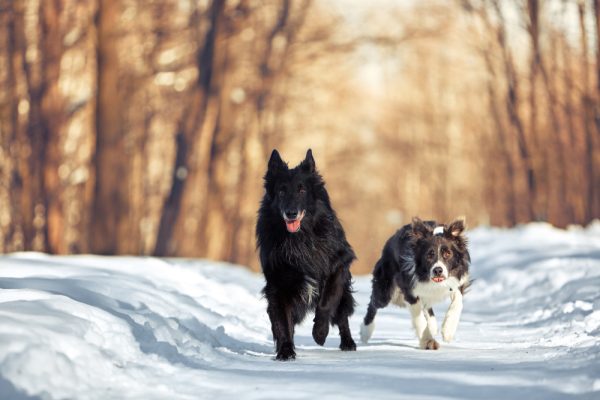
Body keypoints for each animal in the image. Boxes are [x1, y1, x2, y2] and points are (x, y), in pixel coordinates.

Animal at [254, 149, 356, 360]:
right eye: (281, 191)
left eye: (302, 190)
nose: (291, 213)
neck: (299, 239)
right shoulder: (278, 284)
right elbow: (282, 321)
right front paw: (285, 351)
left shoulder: (339, 264)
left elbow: (327, 301)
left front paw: (320, 332)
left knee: (342, 315)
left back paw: (348, 343)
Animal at [358, 219, 472, 350]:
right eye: (429, 255)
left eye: (448, 254)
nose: (438, 270)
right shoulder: (408, 288)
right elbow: (419, 318)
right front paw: (427, 341)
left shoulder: (457, 279)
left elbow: (457, 302)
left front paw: (448, 331)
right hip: (385, 289)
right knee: (374, 303)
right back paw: (365, 332)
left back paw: (433, 325)